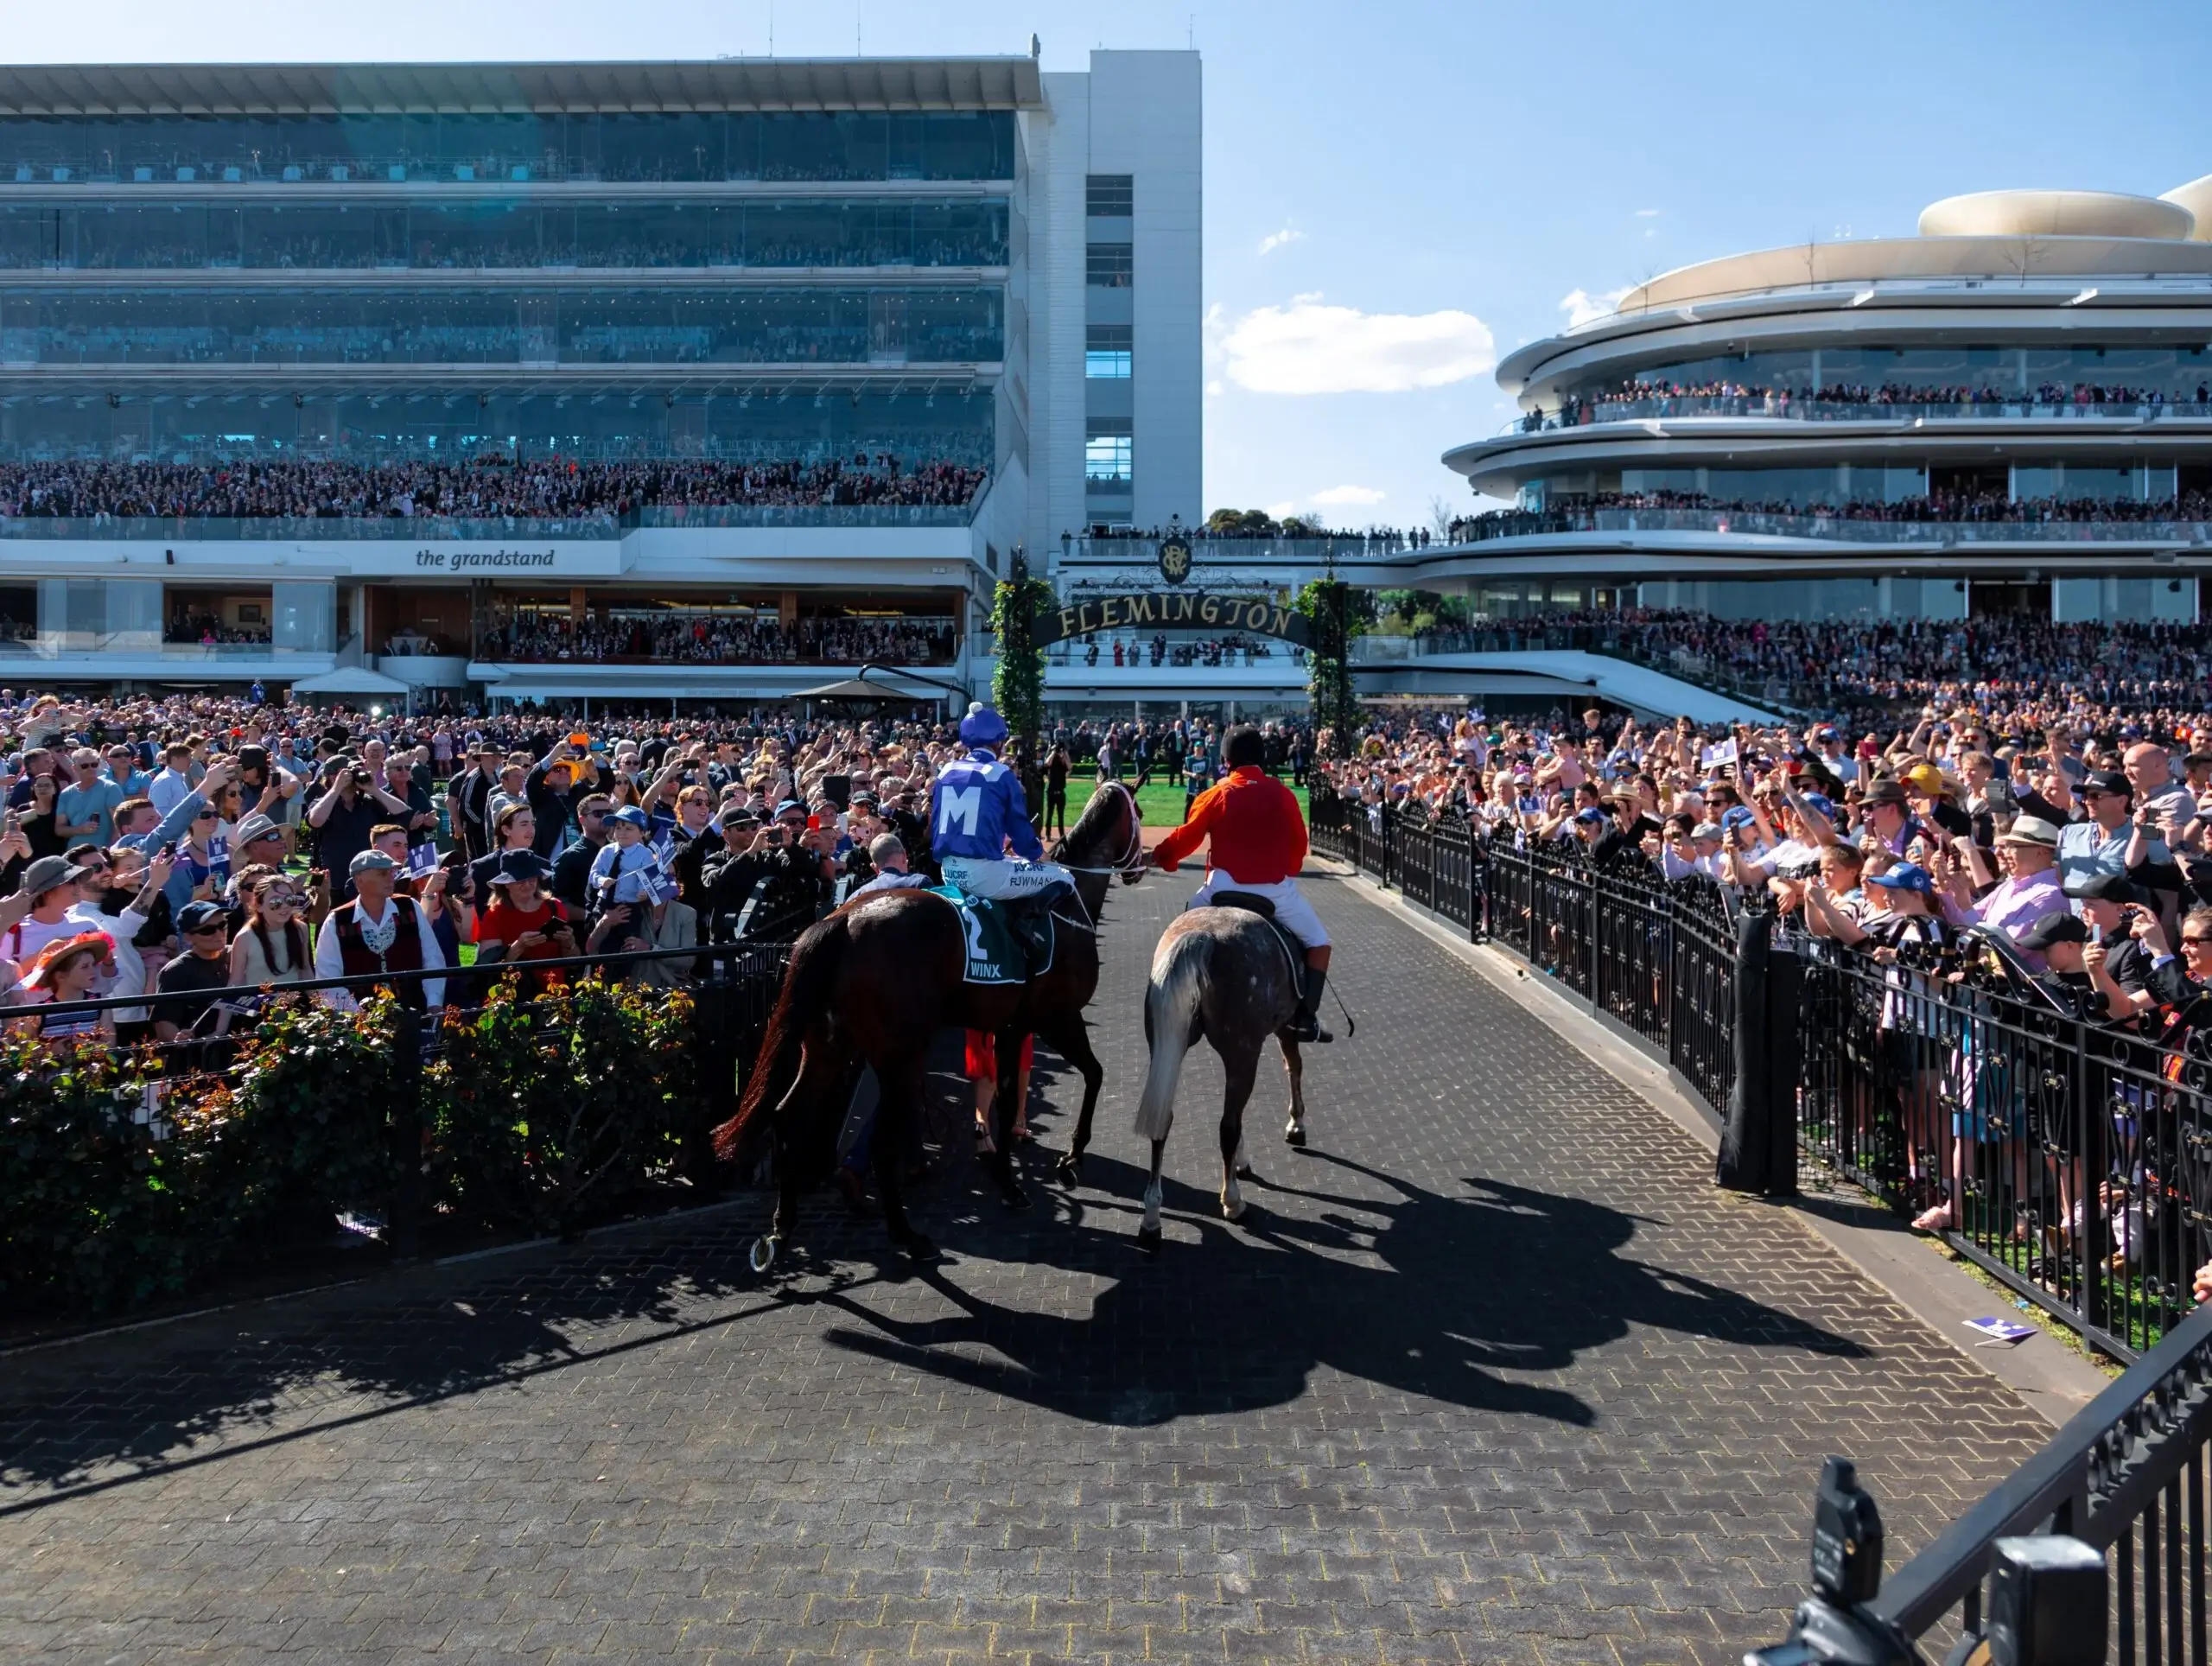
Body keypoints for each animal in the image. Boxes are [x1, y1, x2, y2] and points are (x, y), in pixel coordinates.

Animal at [721, 779, 1150, 1256]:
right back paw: (907, 1236)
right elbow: (1092, 1074)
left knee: (786, 1116)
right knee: (881, 1142)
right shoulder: (1056, 1017)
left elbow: (1004, 1100)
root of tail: (841, 921)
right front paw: (1070, 1160)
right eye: (1139, 816)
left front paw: (1008, 1183)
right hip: (899, 1056)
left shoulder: (1009, 1027)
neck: (1065, 907)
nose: (1140, 866)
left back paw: (782, 1226)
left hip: (828, 1047)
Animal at [1132, 898, 1300, 1248]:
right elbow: (1293, 1066)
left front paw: (1242, 1160)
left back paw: (1152, 1219)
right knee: (1228, 1126)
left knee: (1163, 1121)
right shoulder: (1286, 1025)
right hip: (1242, 1051)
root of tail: (1202, 937)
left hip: (1169, 1046)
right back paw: (1233, 1201)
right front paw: (1296, 1124)